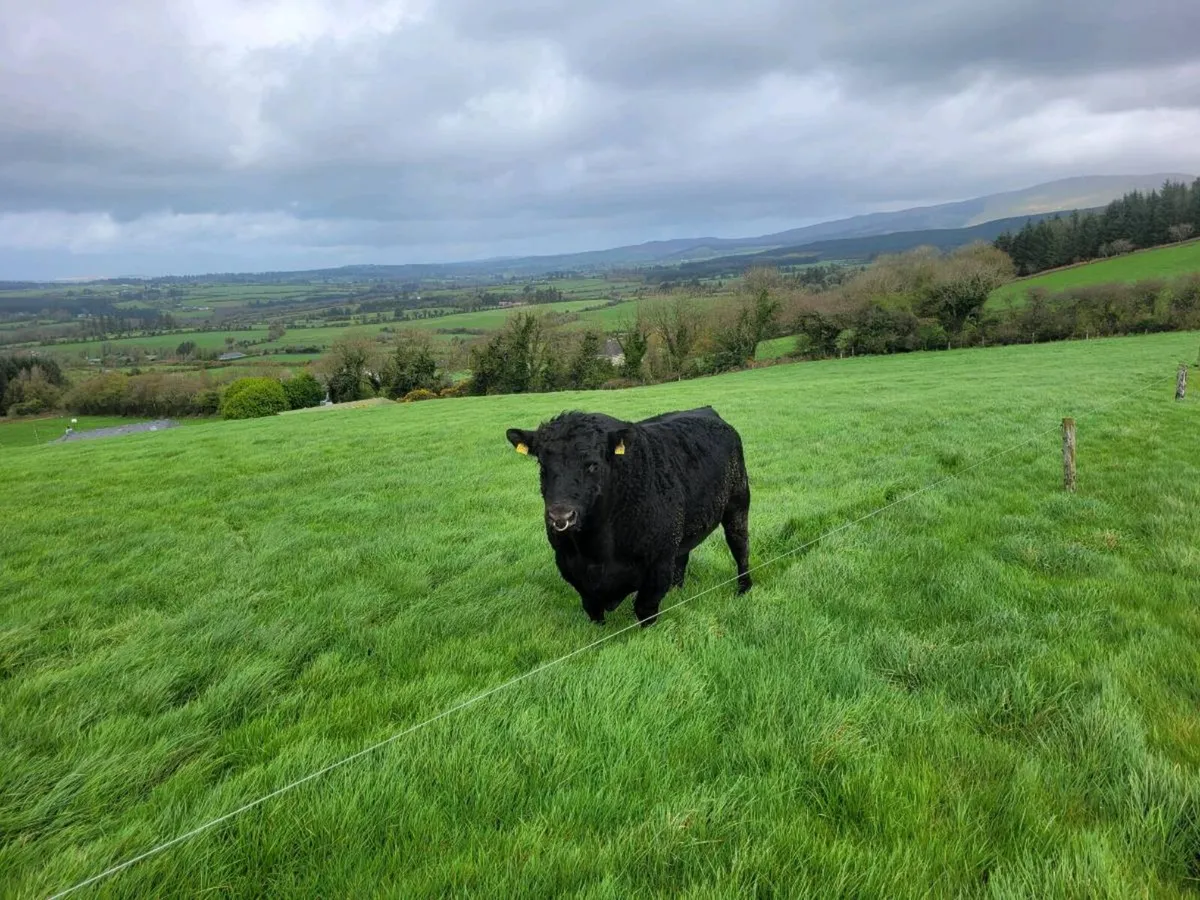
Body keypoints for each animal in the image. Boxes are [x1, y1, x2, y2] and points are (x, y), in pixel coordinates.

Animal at [505, 406, 752, 626]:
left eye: (592, 465)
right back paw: (677, 590)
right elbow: (593, 612)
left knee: (740, 547)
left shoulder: (658, 564)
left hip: (737, 504)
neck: (597, 549)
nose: (561, 515)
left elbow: (645, 610)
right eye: (542, 464)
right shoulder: (570, 567)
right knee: (683, 556)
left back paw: (744, 588)